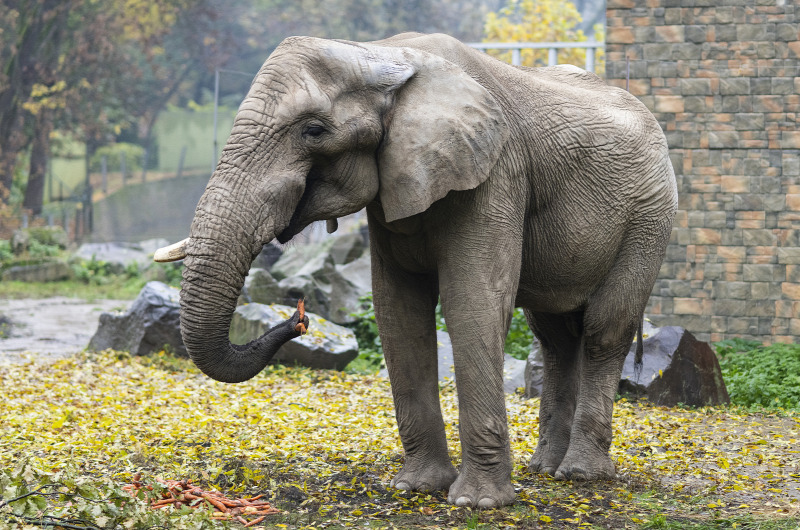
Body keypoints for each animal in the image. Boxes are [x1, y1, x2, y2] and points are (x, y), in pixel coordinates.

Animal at [155, 33, 676, 508]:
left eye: (313, 131)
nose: (299, 318)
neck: (382, 53)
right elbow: (399, 313)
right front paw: (415, 488)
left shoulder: (496, 172)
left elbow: (472, 303)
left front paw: (477, 503)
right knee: (555, 336)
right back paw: (545, 469)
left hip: (650, 219)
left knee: (604, 330)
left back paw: (581, 475)